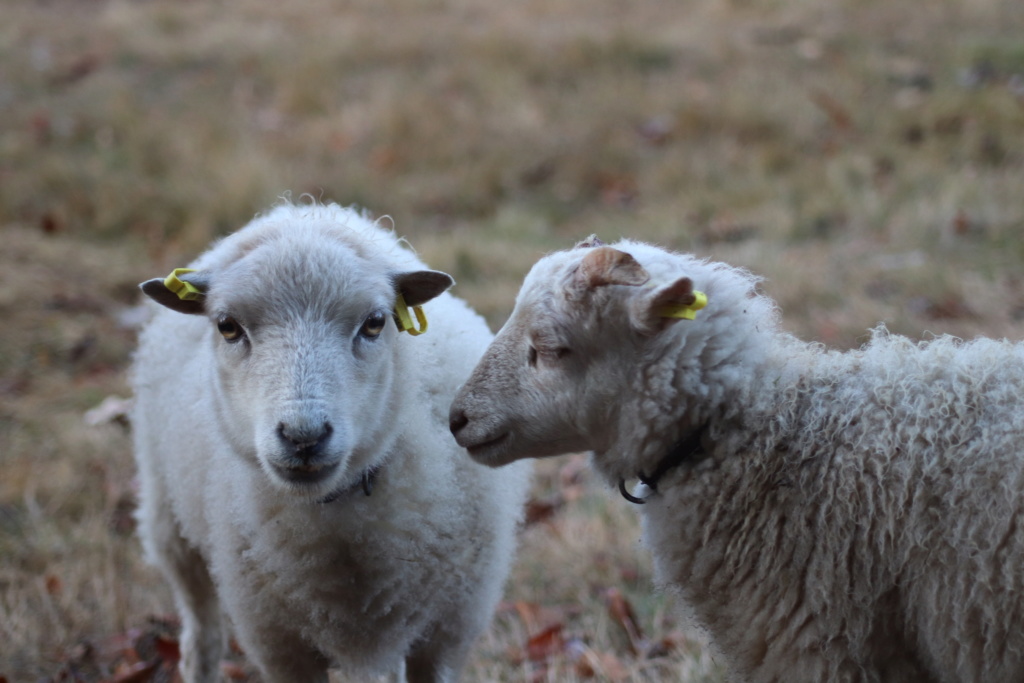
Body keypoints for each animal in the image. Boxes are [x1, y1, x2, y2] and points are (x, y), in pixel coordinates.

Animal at [132, 202, 532, 683]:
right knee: (201, 633)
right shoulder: (277, 644)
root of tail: (300, 210)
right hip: (169, 526)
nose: (303, 436)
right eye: (227, 326)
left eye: (375, 323)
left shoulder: (450, 630)